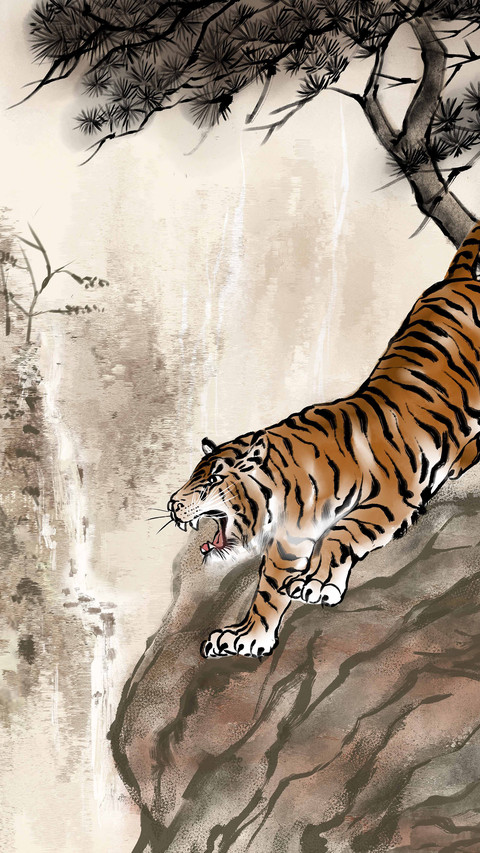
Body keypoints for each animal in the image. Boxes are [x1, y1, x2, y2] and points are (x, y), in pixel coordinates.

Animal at [168, 221, 480, 658]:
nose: (172, 506)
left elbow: (341, 532)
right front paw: (247, 636)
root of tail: (461, 279)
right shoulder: (289, 543)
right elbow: (269, 590)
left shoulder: (389, 500)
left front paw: (315, 585)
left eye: (212, 480)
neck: (281, 494)